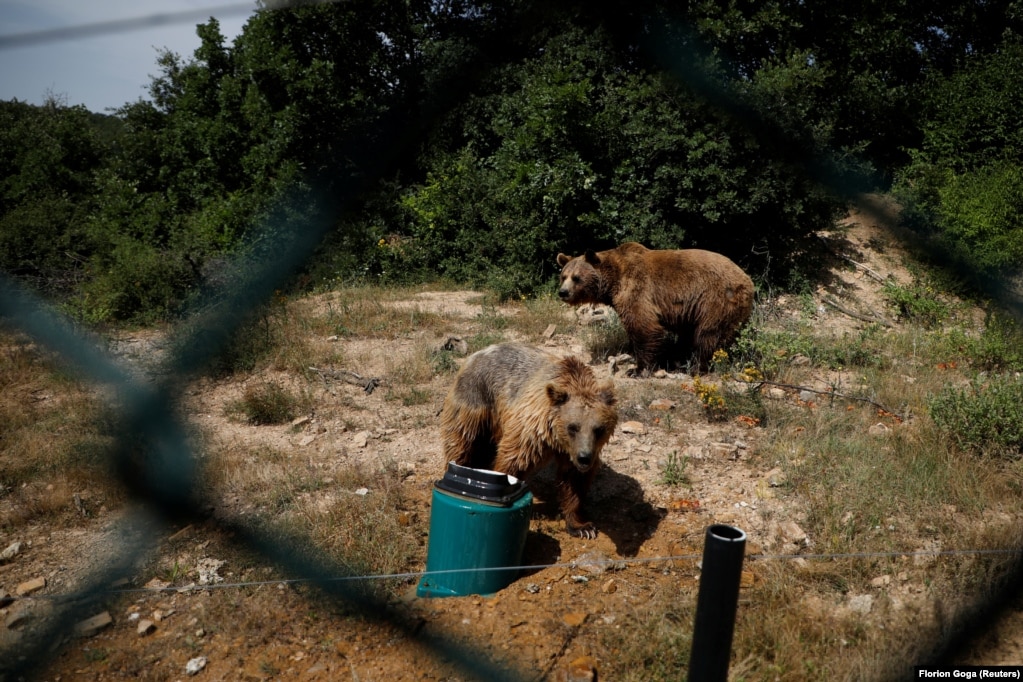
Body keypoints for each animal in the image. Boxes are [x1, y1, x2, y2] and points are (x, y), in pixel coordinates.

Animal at [437, 343, 613, 535]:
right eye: (573, 427)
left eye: (599, 429)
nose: (584, 458)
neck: (557, 438)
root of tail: (476, 354)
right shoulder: (533, 429)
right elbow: (515, 459)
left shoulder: (572, 450)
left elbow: (574, 481)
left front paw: (582, 526)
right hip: (475, 398)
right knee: (463, 441)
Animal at [560, 242, 752, 376]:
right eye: (563, 275)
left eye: (576, 278)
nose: (563, 292)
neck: (614, 279)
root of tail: (747, 279)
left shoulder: (637, 289)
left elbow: (643, 325)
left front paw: (637, 369)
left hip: (715, 300)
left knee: (708, 335)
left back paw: (697, 367)